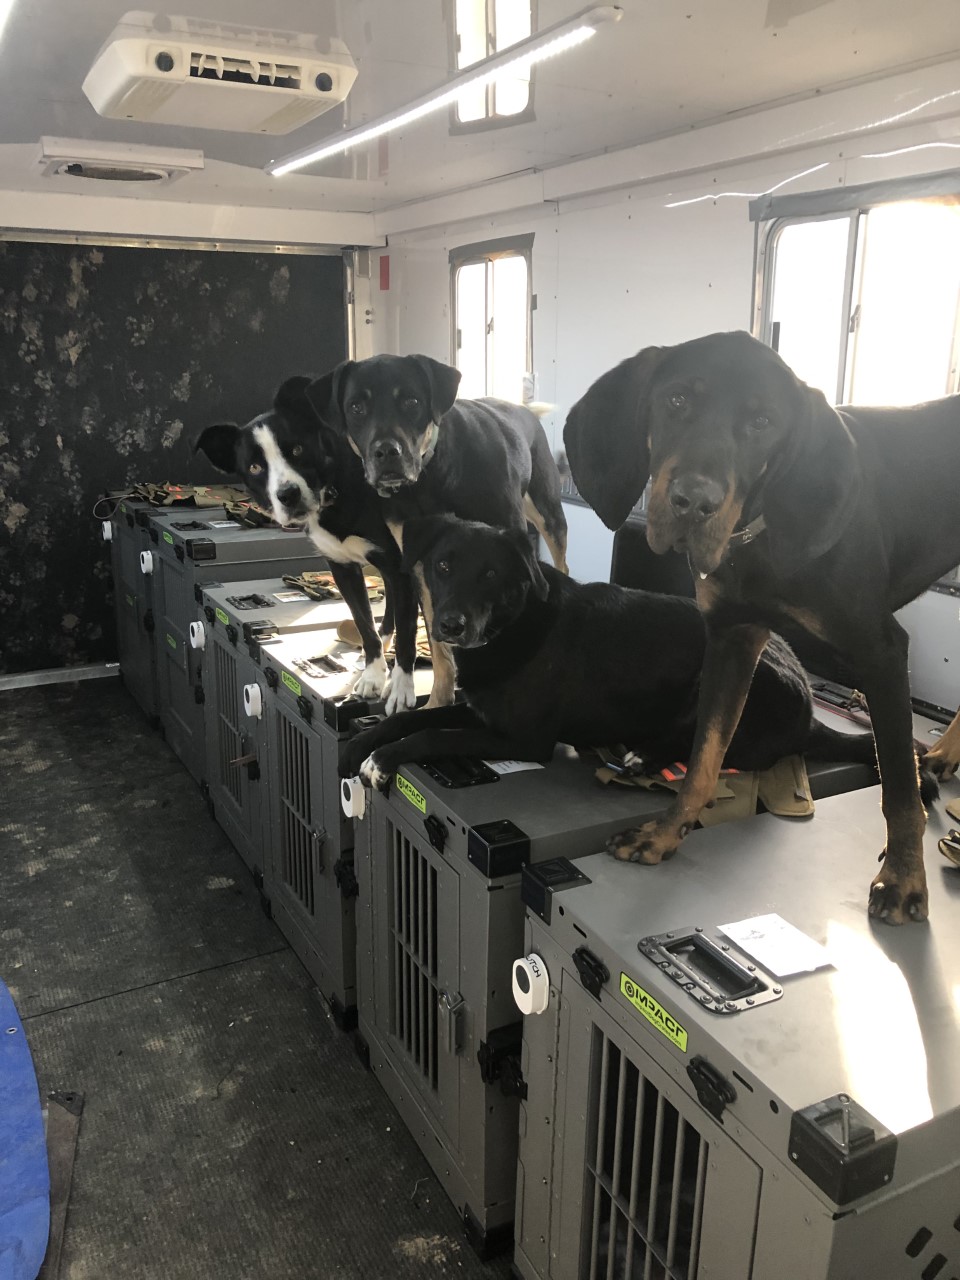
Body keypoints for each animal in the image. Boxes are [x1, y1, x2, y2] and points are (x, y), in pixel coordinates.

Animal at [194, 373, 417, 716]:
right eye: (255, 467)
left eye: (297, 449)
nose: (288, 495)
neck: (337, 487)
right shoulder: (343, 568)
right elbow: (364, 625)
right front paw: (373, 674)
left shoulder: (401, 565)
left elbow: (408, 630)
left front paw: (401, 688)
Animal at [305, 355, 570, 706]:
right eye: (356, 407)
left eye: (412, 402)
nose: (386, 452)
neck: (429, 476)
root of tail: (522, 408)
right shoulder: (422, 564)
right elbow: (438, 644)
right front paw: (437, 699)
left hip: (549, 515)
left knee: (561, 561)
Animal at [563, 330, 960, 926]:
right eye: (677, 400)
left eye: (762, 423)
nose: (693, 503)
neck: (760, 536)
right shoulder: (732, 637)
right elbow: (705, 756)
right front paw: (665, 834)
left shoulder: (882, 653)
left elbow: (897, 788)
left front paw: (904, 878)